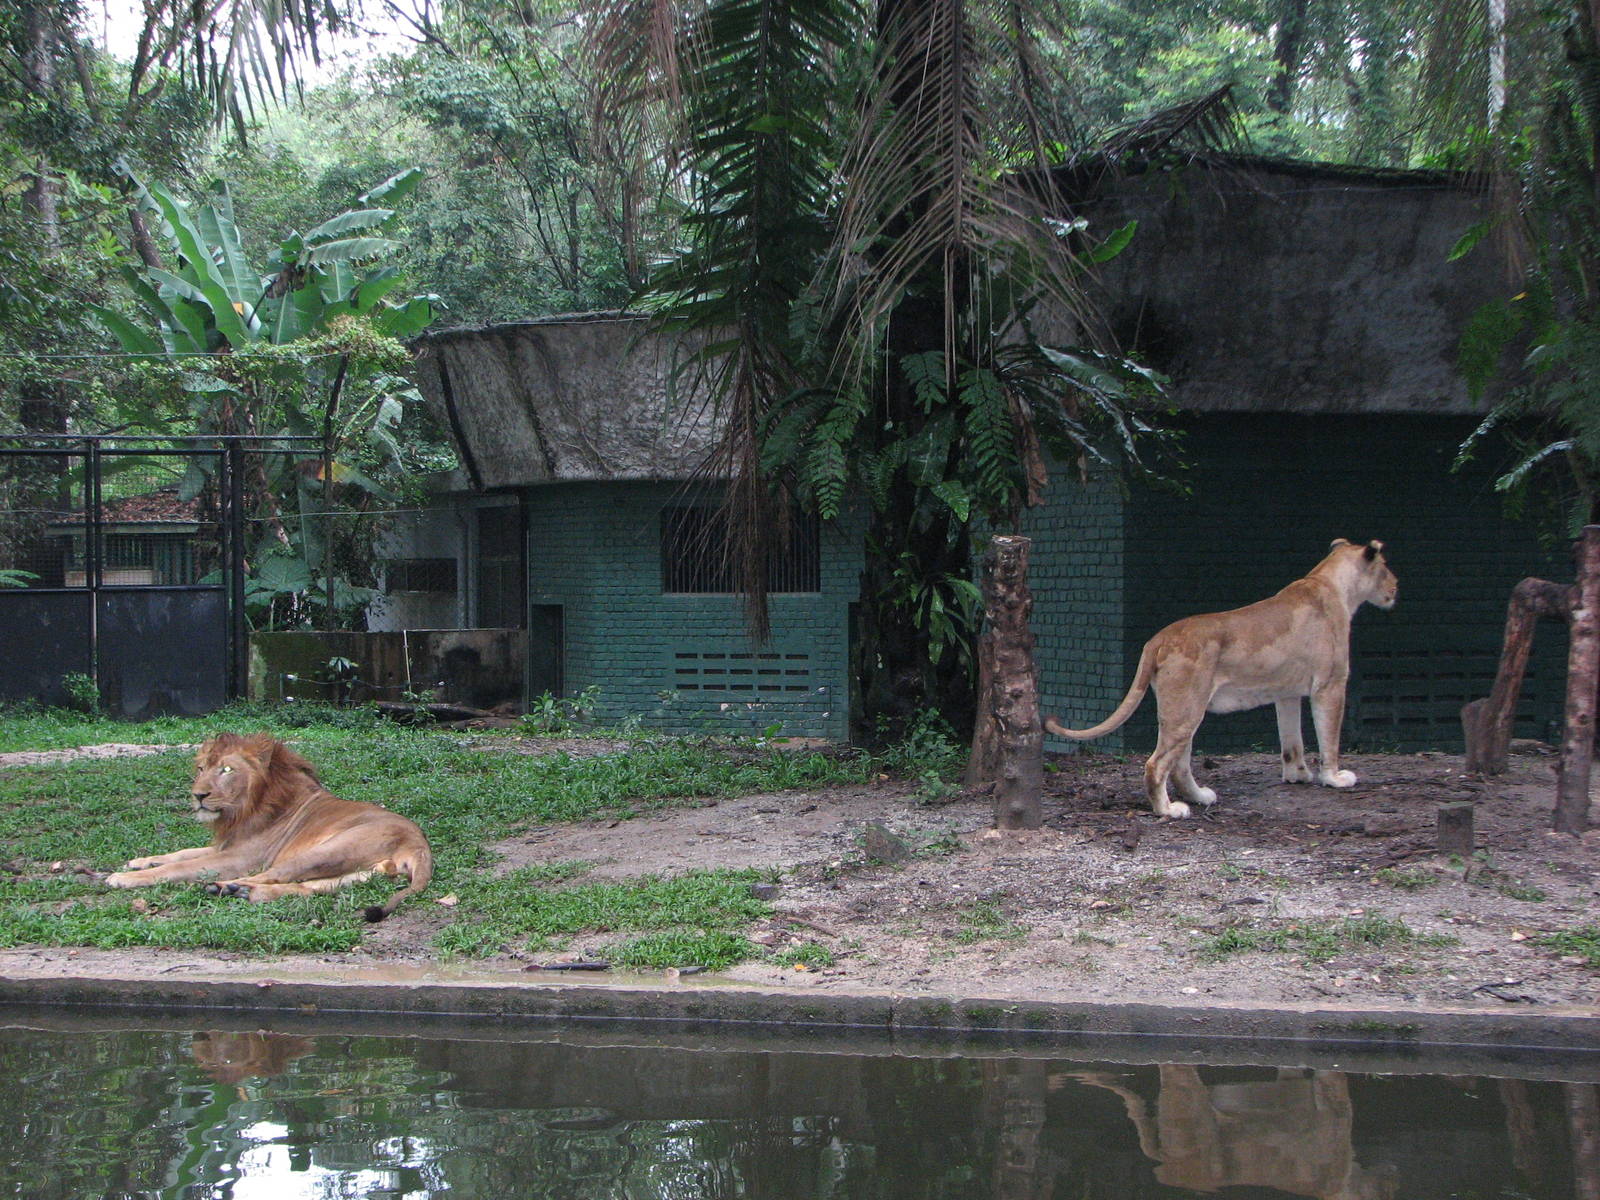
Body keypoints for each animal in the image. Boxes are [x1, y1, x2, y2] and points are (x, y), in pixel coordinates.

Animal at [105, 732, 432, 920]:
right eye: (201, 768)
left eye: (226, 770)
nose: (198, 795)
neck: (241, 810)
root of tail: (419, 844)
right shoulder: (224, 845)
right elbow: (181, 853)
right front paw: (139, 861)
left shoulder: (239, 857)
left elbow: (179, 866)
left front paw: (123, 877)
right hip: (355, 872)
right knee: (307, 888)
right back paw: (239, 892)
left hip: (324, 851)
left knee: (270, 876)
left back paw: (224, 887)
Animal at [1044, 539, 1397, 818]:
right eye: (1385, 566)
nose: (1397, 587)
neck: (1333, 584)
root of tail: (1158, 638)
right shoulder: (1330, 684)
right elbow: (1330, 738)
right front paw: (1335, 778)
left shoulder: (1286, 693)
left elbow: (1291, 740)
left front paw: (1297, 775)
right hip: (1186, 709)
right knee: (1157, 764)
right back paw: (1168, 810)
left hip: (1181, 711)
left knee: (1179, 765)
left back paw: (1200, 797)